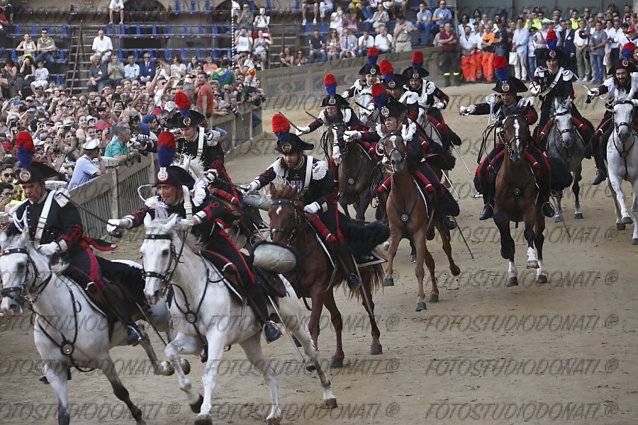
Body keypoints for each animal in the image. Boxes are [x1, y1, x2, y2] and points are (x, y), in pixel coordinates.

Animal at [0, 229, 171, 424]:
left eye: (21, 265)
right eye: (1, 268)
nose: (8, 306)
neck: (58, 318)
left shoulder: (103, 360)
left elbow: (121, 392)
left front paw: (139, 417)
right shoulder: (55, 372)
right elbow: (63, 415)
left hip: (158, 316)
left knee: (168, 330)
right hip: (121, 335)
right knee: (143, 334)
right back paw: (161, 366)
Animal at [141, 214, 340, 424]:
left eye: (165, 252)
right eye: (142, 253)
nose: (151, 293)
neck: (192, 290)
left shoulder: (216, 337)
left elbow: (208, 375)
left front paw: (204, 412)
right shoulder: (192, 340)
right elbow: (170, 352)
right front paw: (195, 400)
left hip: (295, 322)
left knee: (313, 353)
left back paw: (328, 395)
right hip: (249, 341)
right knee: (270, 373)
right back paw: (274, 414)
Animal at [266, 182, 382, 368]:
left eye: (290, 215)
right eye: (269, 213)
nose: (277, 244)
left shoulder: (317, 290)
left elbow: (313, 324)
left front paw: (313, 358)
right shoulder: (301, 291)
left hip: (359, 280)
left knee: (368, 305)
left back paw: (375, 342)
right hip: (327, 293)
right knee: (337, 318)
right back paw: (338, 356)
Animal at [380, 132, 460, 312]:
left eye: (402, 142)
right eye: (386, 144)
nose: (396, 161)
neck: (403, 197)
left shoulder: (418, 233)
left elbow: (419, 269)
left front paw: (420, 300)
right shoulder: (397, 232)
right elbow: (392, 251)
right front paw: (388, 277)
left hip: (437, 225)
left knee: (446, 247)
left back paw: (454, 269)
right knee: (430, 262)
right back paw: (434, 292)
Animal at [496, 107, 552, 284]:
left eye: (525, 127)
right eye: (505, 128)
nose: (516, 152)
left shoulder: (530, 209)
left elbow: (529, 233)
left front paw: (532, 260)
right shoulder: (499, 212)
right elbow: (507, 240)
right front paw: (510, 267)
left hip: (540, 212)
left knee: (538, 238)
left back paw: (541, 273)